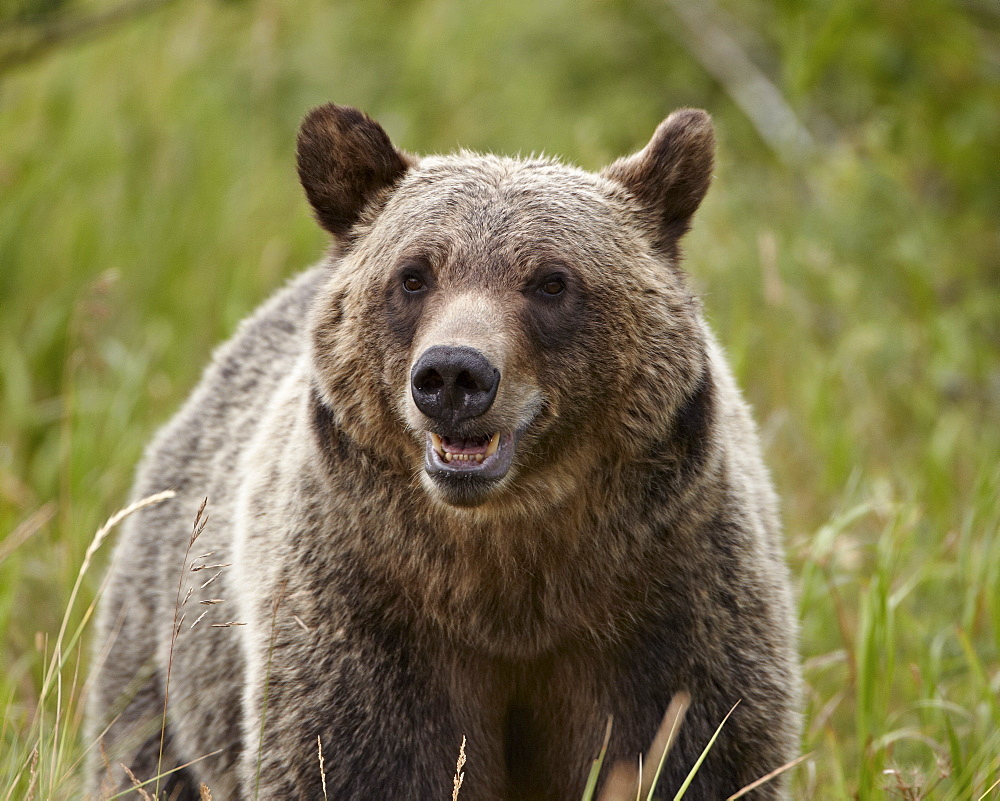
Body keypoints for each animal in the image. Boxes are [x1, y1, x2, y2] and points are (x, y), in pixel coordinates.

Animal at [88, 103, 804, 796]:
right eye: (413, 275)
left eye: (551, 280)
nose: (454, 374)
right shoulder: (371, 617)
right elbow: (353, 763)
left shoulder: (669, 609)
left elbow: (689, 755)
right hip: (164, 638)